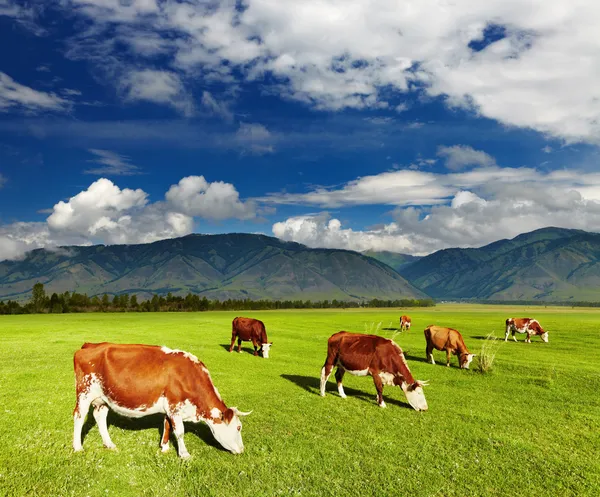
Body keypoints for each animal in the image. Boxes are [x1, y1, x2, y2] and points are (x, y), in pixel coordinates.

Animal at [72, 340, 251, 458]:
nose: (242, 450)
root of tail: (90, 345)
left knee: (100, 417)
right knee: (79, 417)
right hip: (84, 393)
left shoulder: (169, 407)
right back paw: (78, 447)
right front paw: (184, 454)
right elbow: (180, 431)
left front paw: (164, 448)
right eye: (238, 427)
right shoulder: (174, 406)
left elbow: (167, 425)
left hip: (102, 398)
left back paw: (109, 444)